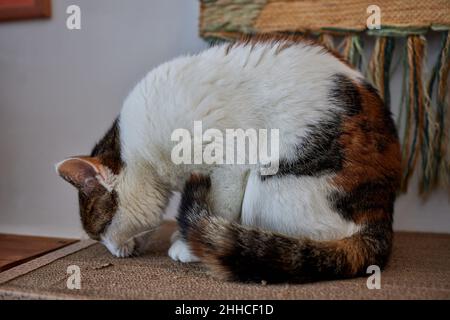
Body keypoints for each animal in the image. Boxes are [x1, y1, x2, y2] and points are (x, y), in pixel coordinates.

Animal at [56, 35, 400, 282]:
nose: (112, 252)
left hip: (267, 182)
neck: (144, 153)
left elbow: (220, 204)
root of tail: (381, 215)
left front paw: (189, 246)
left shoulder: (230, 162)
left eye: (98, 232)